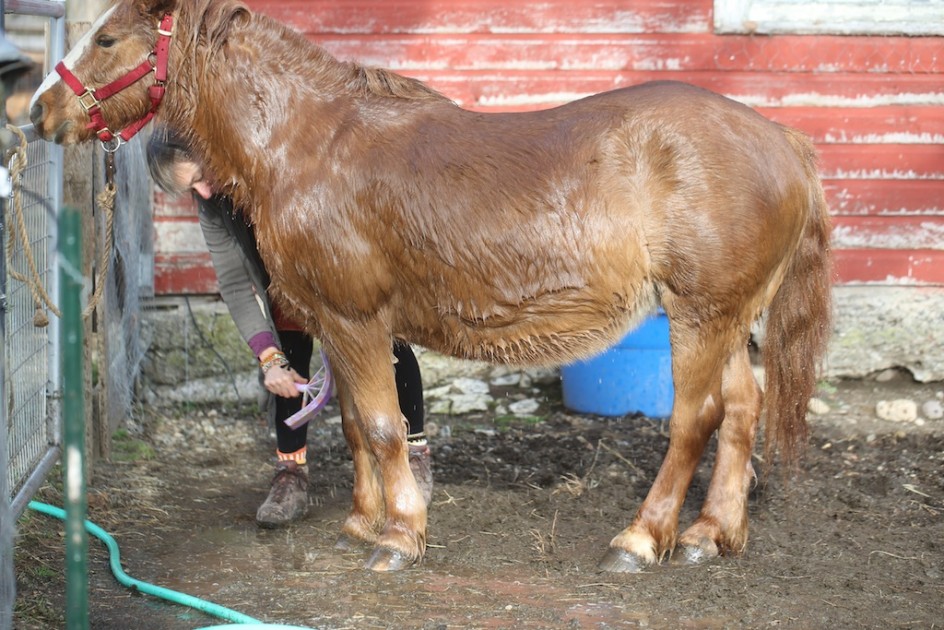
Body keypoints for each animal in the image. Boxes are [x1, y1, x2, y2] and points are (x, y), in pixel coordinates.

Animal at [29, 0, 828, 572]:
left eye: (107, 38)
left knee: (695, 419)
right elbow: (355, 423)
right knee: (742, 410)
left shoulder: (356, 319)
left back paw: (639, 541)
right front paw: (362, 521)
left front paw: (399, 536)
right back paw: (710, 534)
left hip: (700, 315)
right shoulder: (334, 320)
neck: (307, 146)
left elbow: (386, 427)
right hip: (725, 316)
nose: (38, 113)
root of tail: (781, 140)